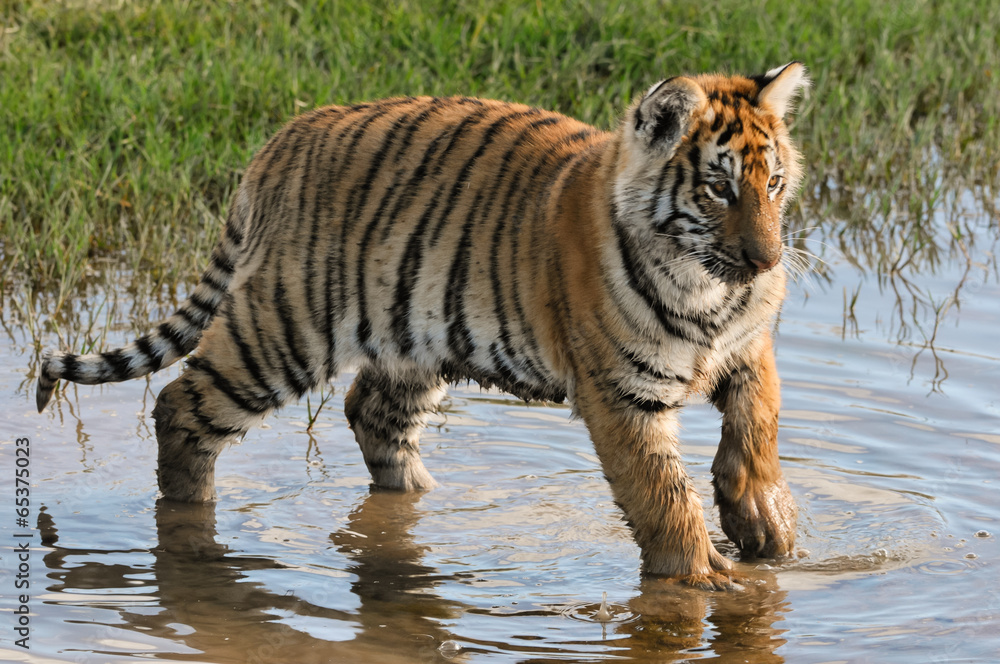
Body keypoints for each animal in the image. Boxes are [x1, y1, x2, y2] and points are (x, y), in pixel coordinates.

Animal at [35, 62, 808, 589]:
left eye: (773, 184)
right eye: (717, 189)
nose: (769, 261)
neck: (708, 292)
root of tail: (283, 138)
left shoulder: (749, 345)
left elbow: (760, 419)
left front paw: (764, 520)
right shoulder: (622, 395)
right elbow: (660, 493)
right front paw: (702, 578)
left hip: (416, 335)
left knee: (370, 412)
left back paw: (415, 504)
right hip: (284, 328)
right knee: (181, 407)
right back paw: (189, 525)